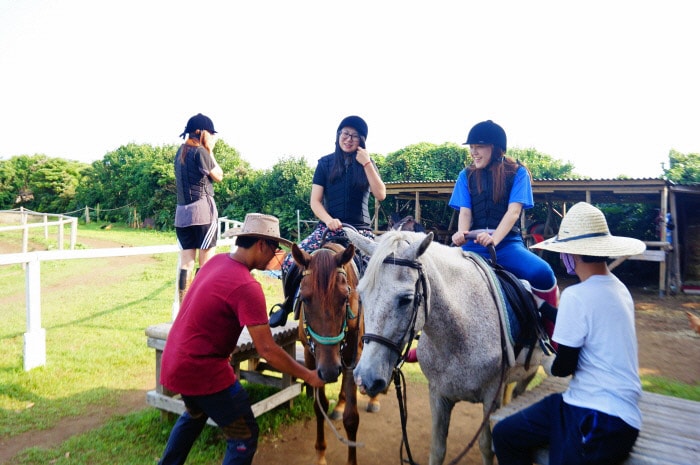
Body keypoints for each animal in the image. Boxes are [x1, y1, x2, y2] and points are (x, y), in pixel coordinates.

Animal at [292, 239, 364, 464]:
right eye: (305, 299)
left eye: (344, 297)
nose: (331, 371)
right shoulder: (311, 357)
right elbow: (319, 406)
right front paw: (321, 453)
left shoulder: (352, 356)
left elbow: (351, 418)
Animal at [344, 227, 540, 464]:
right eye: (362, 294)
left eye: (405, 299)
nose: (364, 378)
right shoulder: (438, 395)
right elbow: (437, 449)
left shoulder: (491, 396)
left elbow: (486, 447)